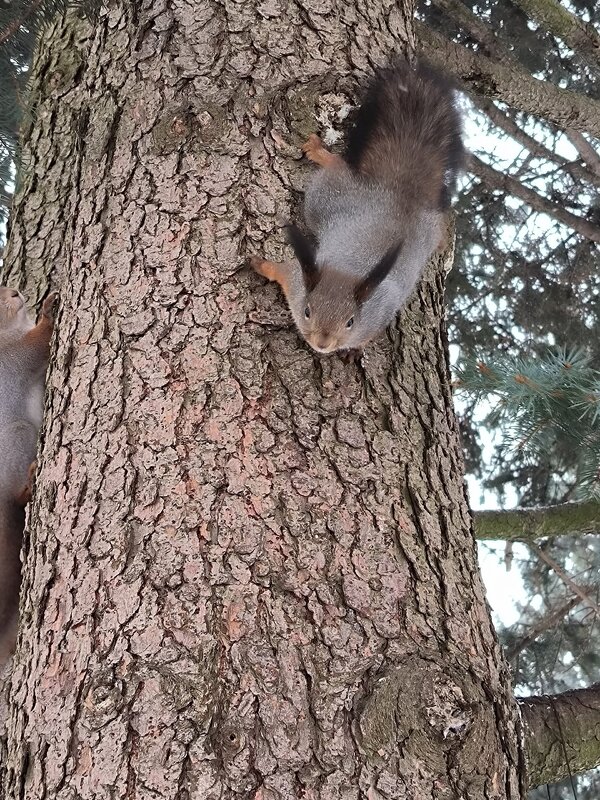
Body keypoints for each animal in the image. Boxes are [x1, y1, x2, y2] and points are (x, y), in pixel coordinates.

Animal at [248, 59, 464, 354]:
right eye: (307, 312)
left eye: (350, 322)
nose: (323, 344)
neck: (348, 273)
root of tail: (399, 193)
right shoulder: (296, 282)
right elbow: (281, 271)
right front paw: (261, 265)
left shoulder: (376, 317)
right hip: (325, 199)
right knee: (337, 168)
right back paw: (320, 152)